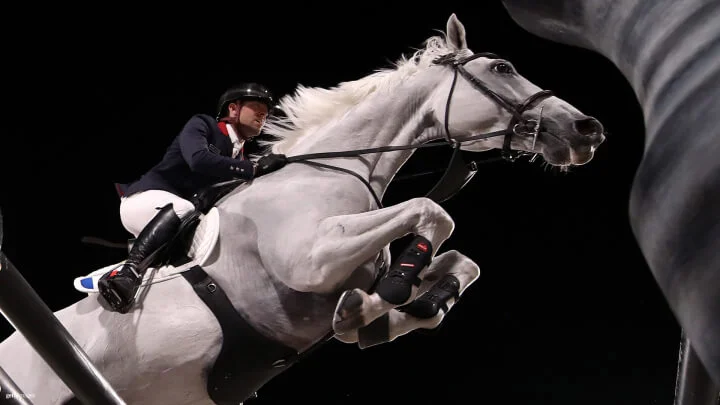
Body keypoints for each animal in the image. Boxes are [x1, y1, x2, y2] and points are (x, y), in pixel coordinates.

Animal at [0, 13, 608, 404]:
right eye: (503, 68)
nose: (587, 129)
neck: (333, 168)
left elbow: (459, 262)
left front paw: (387, 310)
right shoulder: (309, 259)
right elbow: (434, 213)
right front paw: (381, 300)